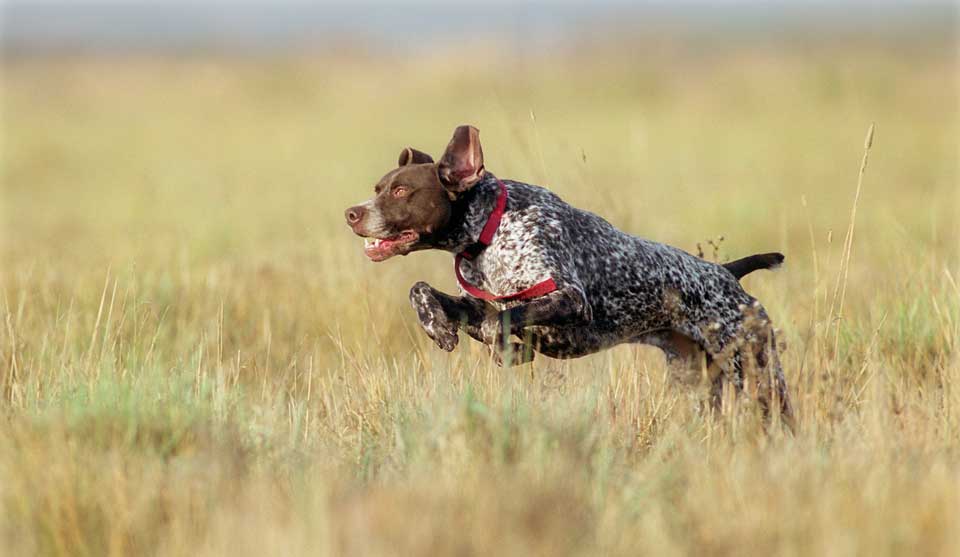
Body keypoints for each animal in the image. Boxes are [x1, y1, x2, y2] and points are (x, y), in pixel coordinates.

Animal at [348, 122, 792, 416]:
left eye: (401, 191)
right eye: (377, 189)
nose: (352, 214)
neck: (489, 231)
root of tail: (726, 273)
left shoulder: (570, 299)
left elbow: (502, 323)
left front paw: (507, 348)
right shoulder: (482, 303)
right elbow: (422, 290)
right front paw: (437, 325)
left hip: (759, 376)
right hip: (696, 381)